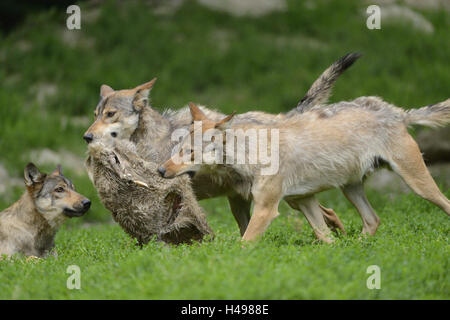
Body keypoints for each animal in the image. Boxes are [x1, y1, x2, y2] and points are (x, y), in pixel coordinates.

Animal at [158, 97, 450, 242]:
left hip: (418, 184)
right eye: (177, 148)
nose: (160, 170)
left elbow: (244, 243)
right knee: (373, 220)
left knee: (443, 202)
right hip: (350, 190)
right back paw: (358, 247)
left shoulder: (267, 209)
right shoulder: (305, 200)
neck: (253, 153)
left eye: (189, 153)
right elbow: (325, 237)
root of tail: (397, 112)